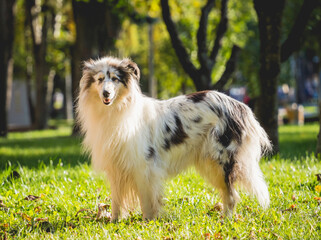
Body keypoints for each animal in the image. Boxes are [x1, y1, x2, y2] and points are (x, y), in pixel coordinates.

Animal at [77, 56, 270, 221]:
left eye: (115, 79)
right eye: (100, 79)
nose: (106, 94)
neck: (117, 111)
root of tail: (240, 106)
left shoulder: (143, 168)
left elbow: (146, 200)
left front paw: (147, 222)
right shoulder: (116, 169)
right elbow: (117, 200)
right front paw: (115, 221)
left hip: (221, 161)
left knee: (231, 195)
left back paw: (226, 220)